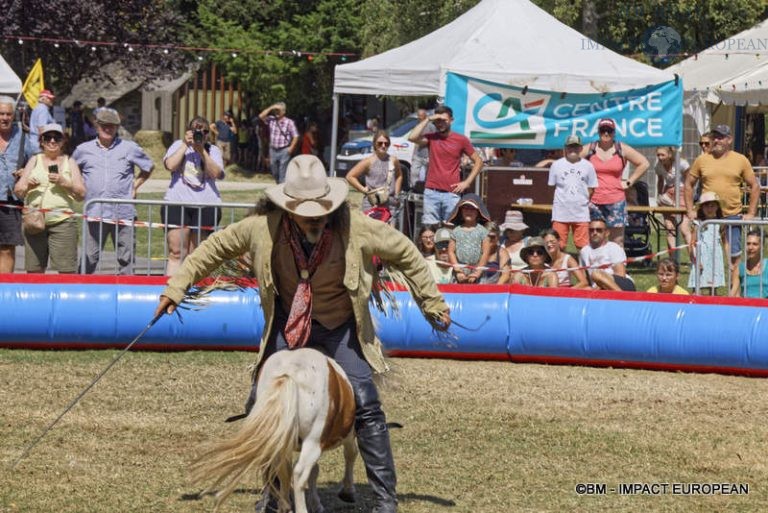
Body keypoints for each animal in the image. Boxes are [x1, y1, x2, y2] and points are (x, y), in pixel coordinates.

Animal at [192, 346, 360, 510]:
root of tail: (290, 371)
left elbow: (312, 471)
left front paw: (316, 503)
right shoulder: (347, 436)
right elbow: (350, 454)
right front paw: (348, 492)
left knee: (283, 470)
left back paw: (284, 506)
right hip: (312, 441)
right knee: (298, 474)